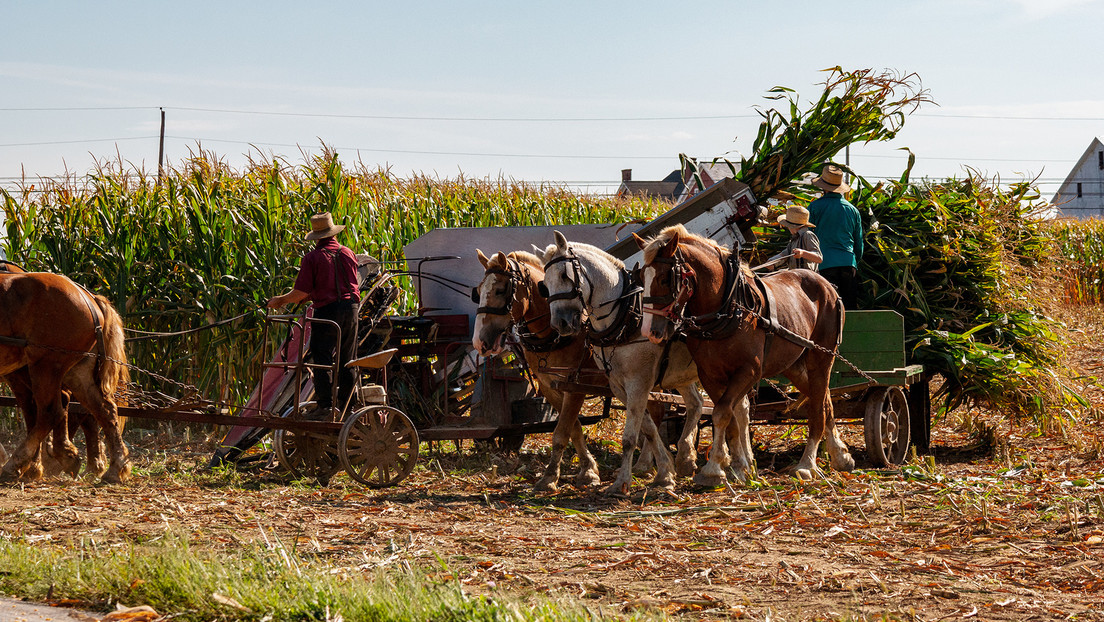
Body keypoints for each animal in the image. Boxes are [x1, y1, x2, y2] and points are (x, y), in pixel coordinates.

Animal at [0, 270, 130, 483]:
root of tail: (88, 297)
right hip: (77, 371)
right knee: (104, 410)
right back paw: (114, 467)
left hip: (46, 365)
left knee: (50, 412)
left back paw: (16, 464)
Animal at [538, 229, 728, 497]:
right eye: (544, 285)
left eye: (565, 275)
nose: (560, 324)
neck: (626, 315)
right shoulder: (619, 385)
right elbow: (647, 428)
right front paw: (664, 473)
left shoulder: (638, 382)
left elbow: (630, 436)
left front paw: (622, 482)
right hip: (682, 374)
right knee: (696, 404)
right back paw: (686, 457)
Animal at [640, 226, 852, 483]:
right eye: (641, 277)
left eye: (664, 279)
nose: (649, 331)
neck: (729, 308)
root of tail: (828, 286)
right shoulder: (710, 375)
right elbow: (729, 417)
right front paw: (736, 467)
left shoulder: (749, 371)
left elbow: (722, 412)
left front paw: (713, 469)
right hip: (794, 365)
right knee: (826, 402)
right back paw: (841, 455)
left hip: (821, 358)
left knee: (818, 409)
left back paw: (807, 463)